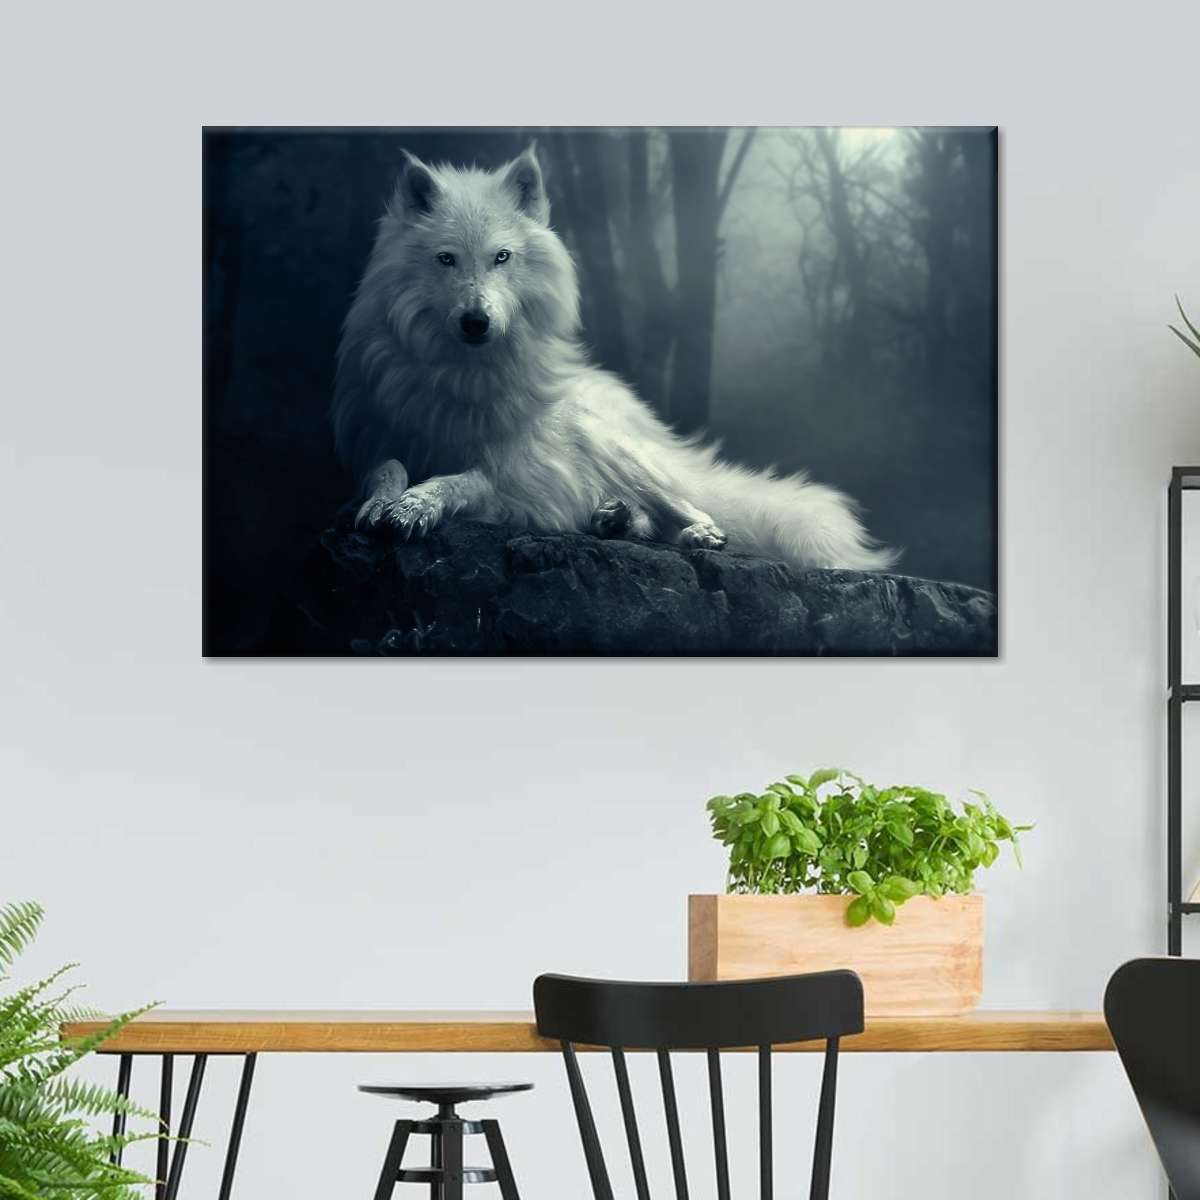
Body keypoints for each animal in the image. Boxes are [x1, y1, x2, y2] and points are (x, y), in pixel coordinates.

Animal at [332, 143, 896, 572]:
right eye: (446, 259)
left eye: (501, 257)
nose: (476, 322)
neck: (463, 375)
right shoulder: (378, 439)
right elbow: (386, 468)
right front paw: (382, 503)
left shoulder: (515, 477)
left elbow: (460, 480)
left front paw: (416, 505)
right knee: (642, 516)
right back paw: (614, 518)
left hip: (618, 450)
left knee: (694, 508)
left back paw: (693, 534)